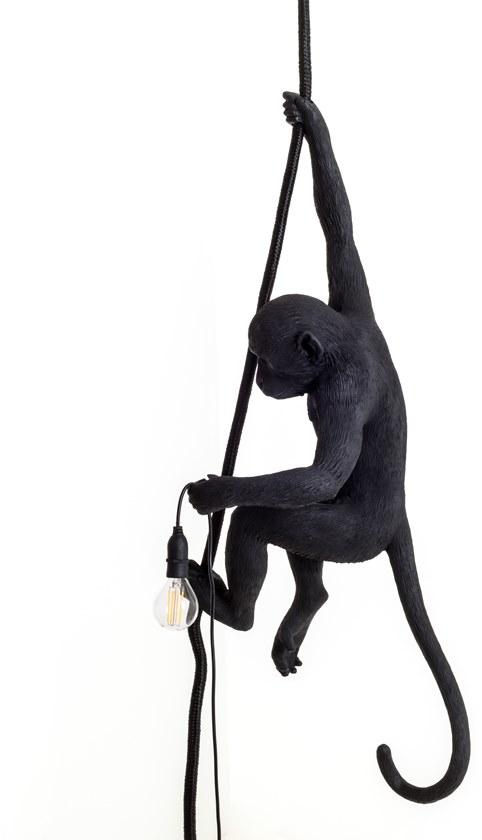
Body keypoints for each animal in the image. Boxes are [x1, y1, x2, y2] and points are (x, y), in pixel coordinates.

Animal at [187, 92, 470, 804]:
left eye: (266, 361)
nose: (259, 378)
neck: (345, 346)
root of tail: (395, 522)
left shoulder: (341, 392)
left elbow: (320, 475)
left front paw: (214, 492)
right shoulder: (359, 306)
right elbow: (342, 235)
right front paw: (310, 122)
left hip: (351, 536)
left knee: (267, 520)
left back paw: (235, 611)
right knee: (303, 560)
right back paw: (298, 611)